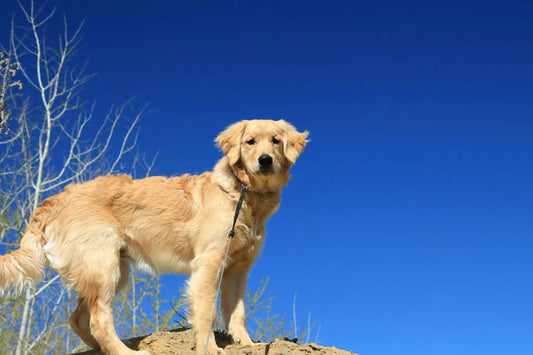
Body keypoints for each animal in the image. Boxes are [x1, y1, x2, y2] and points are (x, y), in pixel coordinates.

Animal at [0, 120, 308, 355]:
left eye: (276, 141)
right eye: (250, 142)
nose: (265, 160)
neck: (243, 194)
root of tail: (54, 200)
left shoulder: (237, 269)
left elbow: (237, 312)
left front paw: (247, 344)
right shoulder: (208, 264)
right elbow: (206, 314)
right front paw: (210, 348)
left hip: (112, 269)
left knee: (78, 319)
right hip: (103, 267)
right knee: (98, 320)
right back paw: (126, 352)